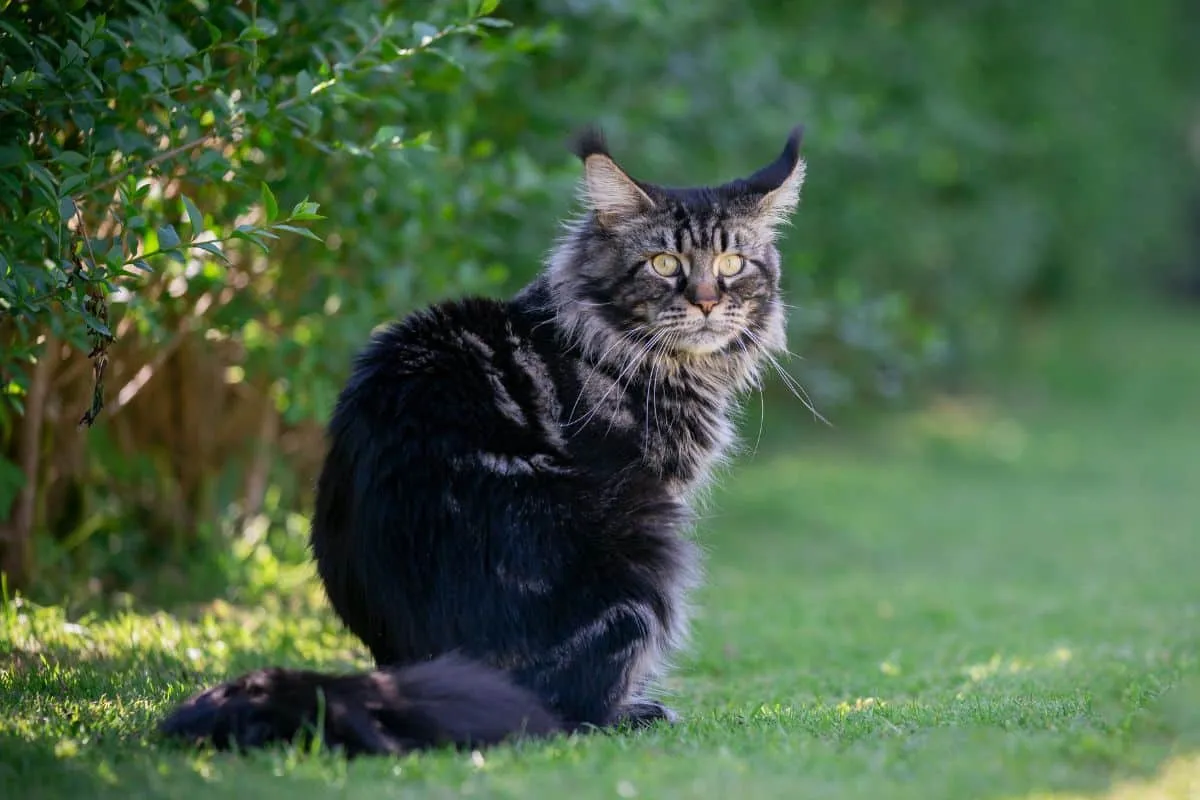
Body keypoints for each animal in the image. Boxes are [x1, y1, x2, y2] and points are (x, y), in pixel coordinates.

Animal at [159, 125, 811, 758]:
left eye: (732, 263)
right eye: (662, 263)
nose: (706, 302)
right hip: (649, 548)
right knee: (566, 713)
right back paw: (636, 712)